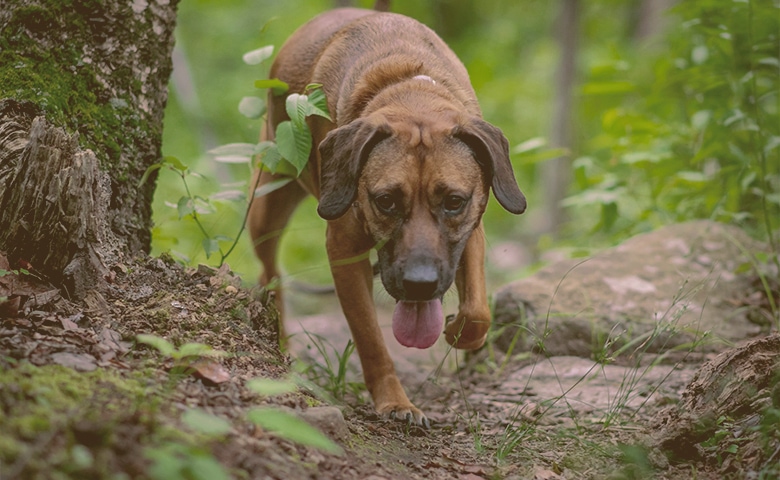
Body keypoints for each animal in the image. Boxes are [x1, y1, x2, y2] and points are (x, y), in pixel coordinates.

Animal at [250, 6, 528, 428]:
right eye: (386, 201)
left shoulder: (472, 229)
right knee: (270, 272)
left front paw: (461, 332)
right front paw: (395, 402)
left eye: (453, 201)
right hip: (268, 201)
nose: (419, 285)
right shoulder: (344, 251)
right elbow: (371, 339)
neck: (410, 92)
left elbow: (478, 309)